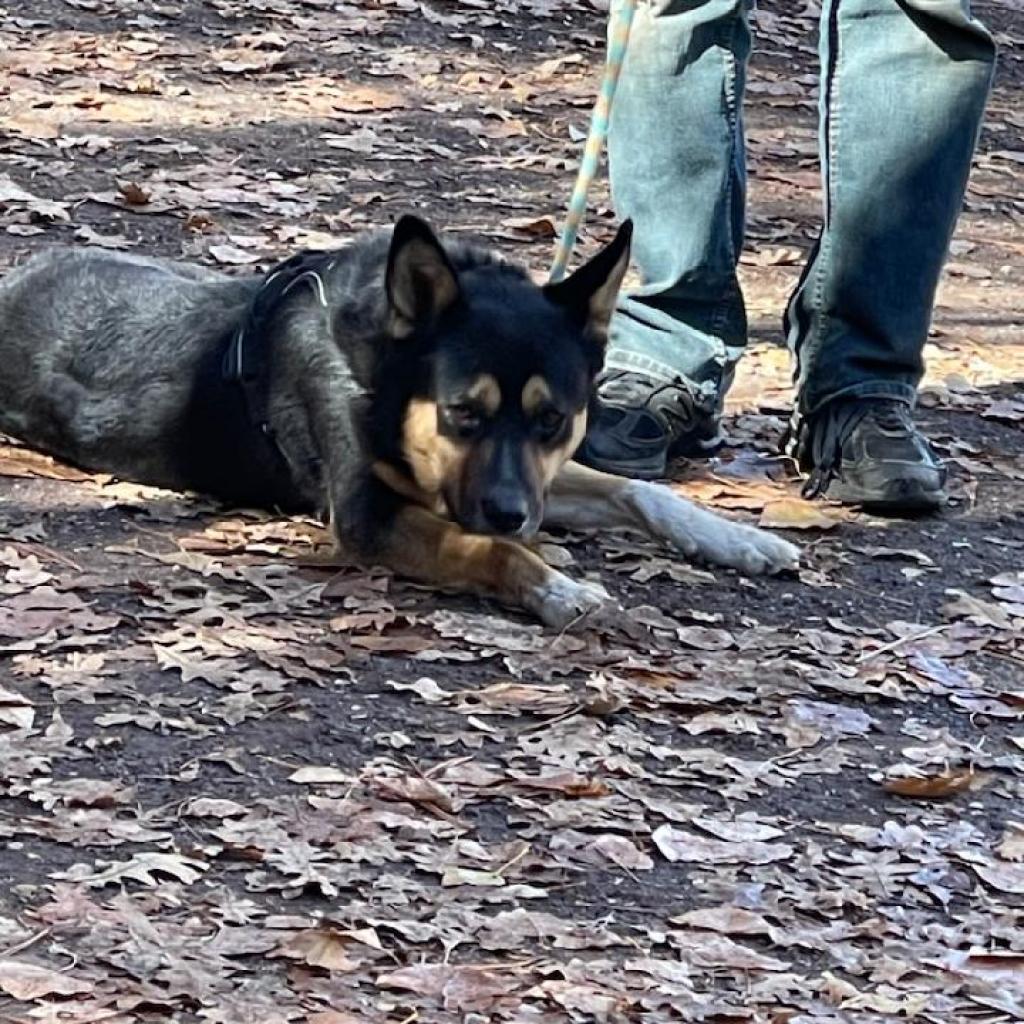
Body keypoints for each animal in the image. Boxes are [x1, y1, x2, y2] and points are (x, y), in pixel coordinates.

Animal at [0, 215, 798, 622]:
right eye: (462, 412)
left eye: (552, 421)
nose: (511, 515)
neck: (380, 371)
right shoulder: (368, 512)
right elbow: (491, 552)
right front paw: (557, 587)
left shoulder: (529, 480)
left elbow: (643, 491)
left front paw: (740, 539)